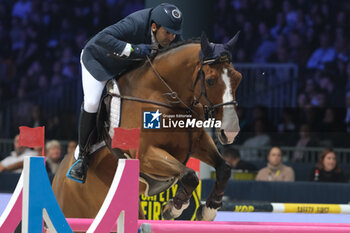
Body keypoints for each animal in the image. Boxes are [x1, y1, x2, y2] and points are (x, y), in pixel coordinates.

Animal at [52, 32, 243, 222]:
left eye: (238, 78)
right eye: (210, 81)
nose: (230, 133)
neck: (164, 96)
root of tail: (57, 179)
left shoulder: (197, 143)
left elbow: (224, 169)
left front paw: (208, 209)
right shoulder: (145, 154)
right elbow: (190, 175)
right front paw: (173, 209)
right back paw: (78, 169)